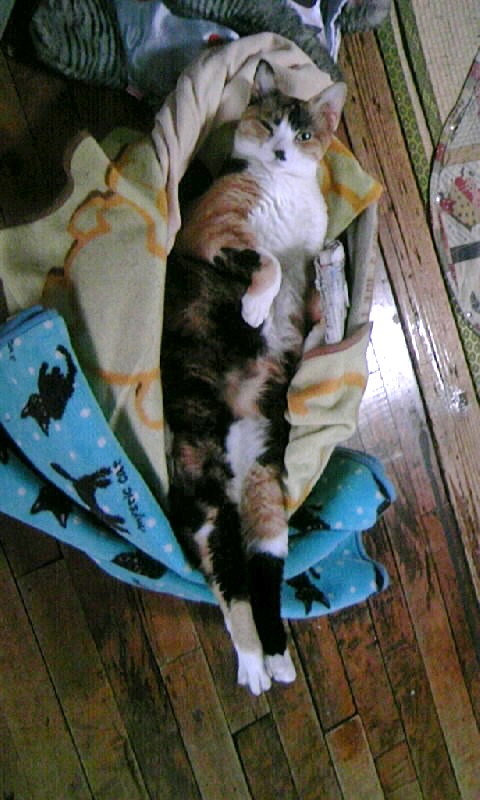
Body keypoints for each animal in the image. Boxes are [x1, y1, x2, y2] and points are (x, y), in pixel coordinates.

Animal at [161, 60, 346, 694]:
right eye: (268, 124)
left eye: (306, 133)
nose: (282, 149)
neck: (283, 187)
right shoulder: (208, 236)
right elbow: (267, 263)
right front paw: (253, 311)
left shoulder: (306, 265)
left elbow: (310, 288)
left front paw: (329, 303)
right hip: (203, 490)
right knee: (227, 583)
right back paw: (251, 665)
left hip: (269, 498)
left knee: (260, 576)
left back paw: (278, 657)